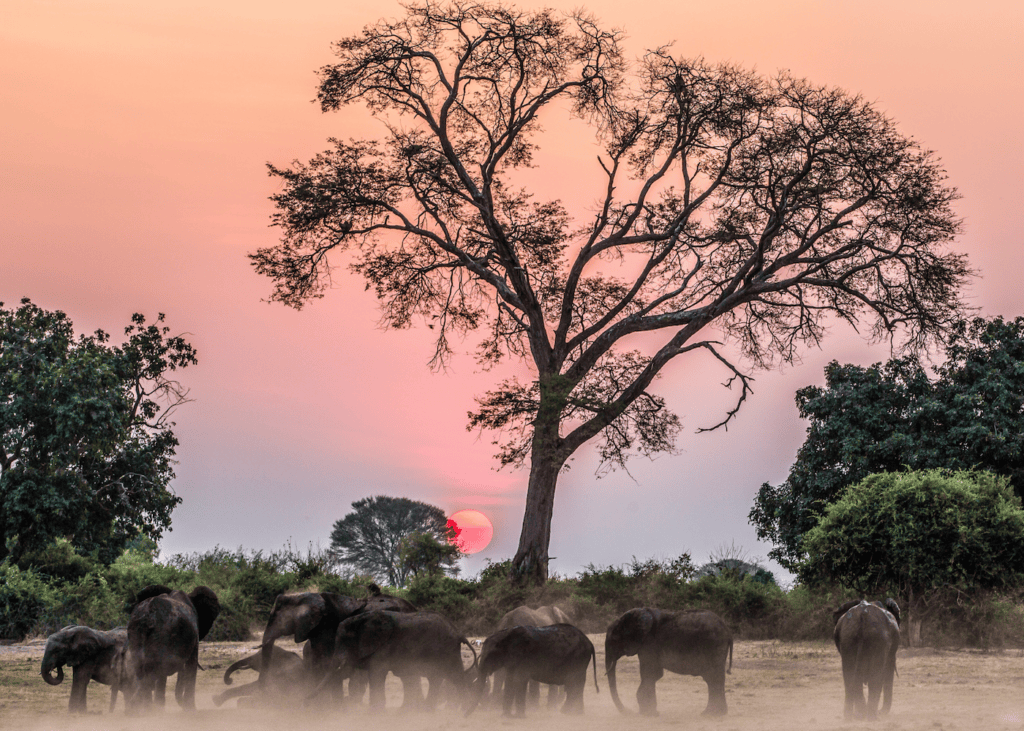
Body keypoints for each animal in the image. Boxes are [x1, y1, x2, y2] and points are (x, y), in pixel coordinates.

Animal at [122, 584, 221, 713]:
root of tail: (148, 616)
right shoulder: (194, 637)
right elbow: (191, 665)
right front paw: (191, 710)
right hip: (161, 635)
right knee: (155, 671)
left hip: (136, 634)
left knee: (142, 669)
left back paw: (143, 710)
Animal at [310, 609, 477, 712]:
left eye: (345, 641)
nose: (306, 702)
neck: (362, 619)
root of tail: (459, 633)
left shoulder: (383, 647)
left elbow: (376, 674)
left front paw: (374, 713)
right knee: (438, 678)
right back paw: (427, 710)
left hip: (447, 650)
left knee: (455, 677)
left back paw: (465, 711)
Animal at [466, 623, 598, 718]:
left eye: (490, 656)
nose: (464, 715)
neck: (505, 634)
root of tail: (590, 643)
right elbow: (509, 680)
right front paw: (505, 716)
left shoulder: (523, 657)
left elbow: (519, 680)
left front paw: (518, 717)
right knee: (575, 684)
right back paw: (571, 713)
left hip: (578, 658)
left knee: (574, 682)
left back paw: (570, 713)